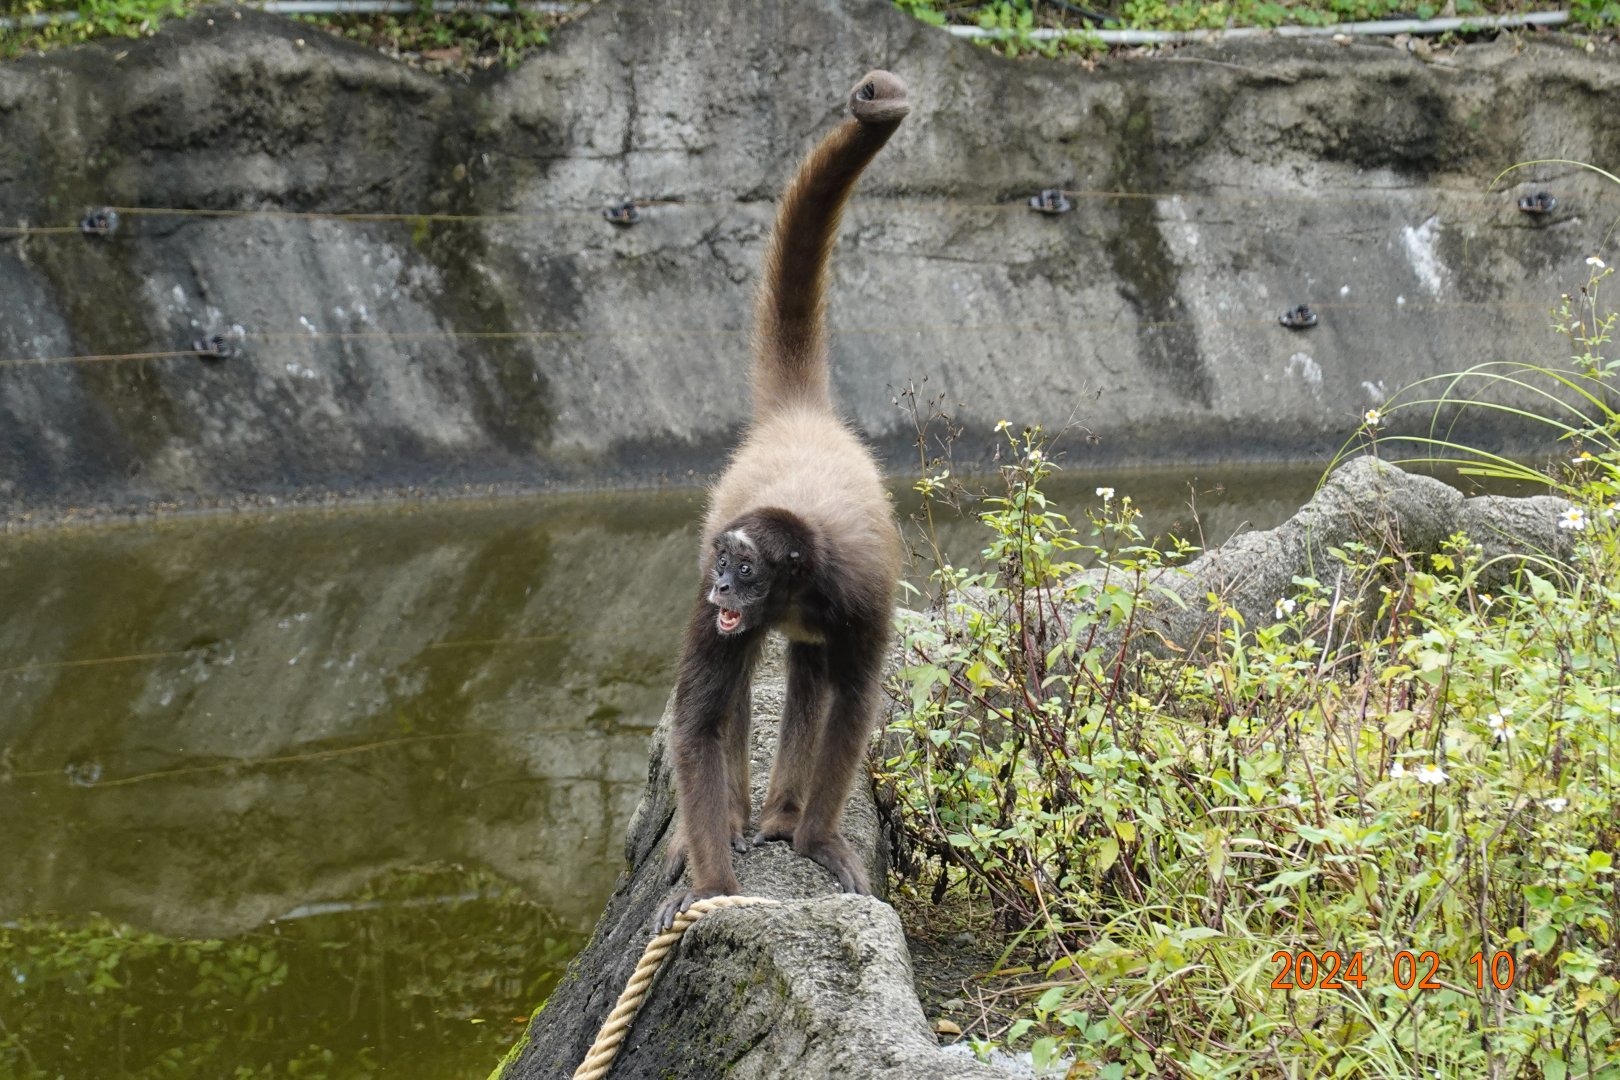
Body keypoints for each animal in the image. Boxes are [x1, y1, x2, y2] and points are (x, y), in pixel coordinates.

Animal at [654, 70, 909, 930]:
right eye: (727, 565)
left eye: (750, 569)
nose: (725, 589)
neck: (801, 571)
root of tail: (802, 420)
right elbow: (699, 723)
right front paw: (713, 885)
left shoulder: (859, 588)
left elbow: (854, 702)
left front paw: (817, 841)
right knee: (742, 685)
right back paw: (736, 819)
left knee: (812, 675)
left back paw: (781, 816)